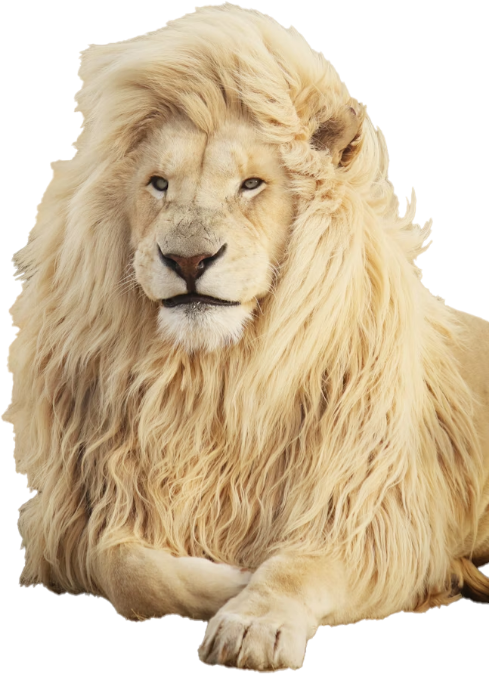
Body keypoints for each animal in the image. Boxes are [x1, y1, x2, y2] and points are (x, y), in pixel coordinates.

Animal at [3, 3, 488, 672]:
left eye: (252, 185)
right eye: (158, 184)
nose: (187, 260)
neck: (212, 379)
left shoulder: (373, 515)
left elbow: (298, 566)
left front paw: (251, 620)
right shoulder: (80, 515)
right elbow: (124, 566)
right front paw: (227, 581)